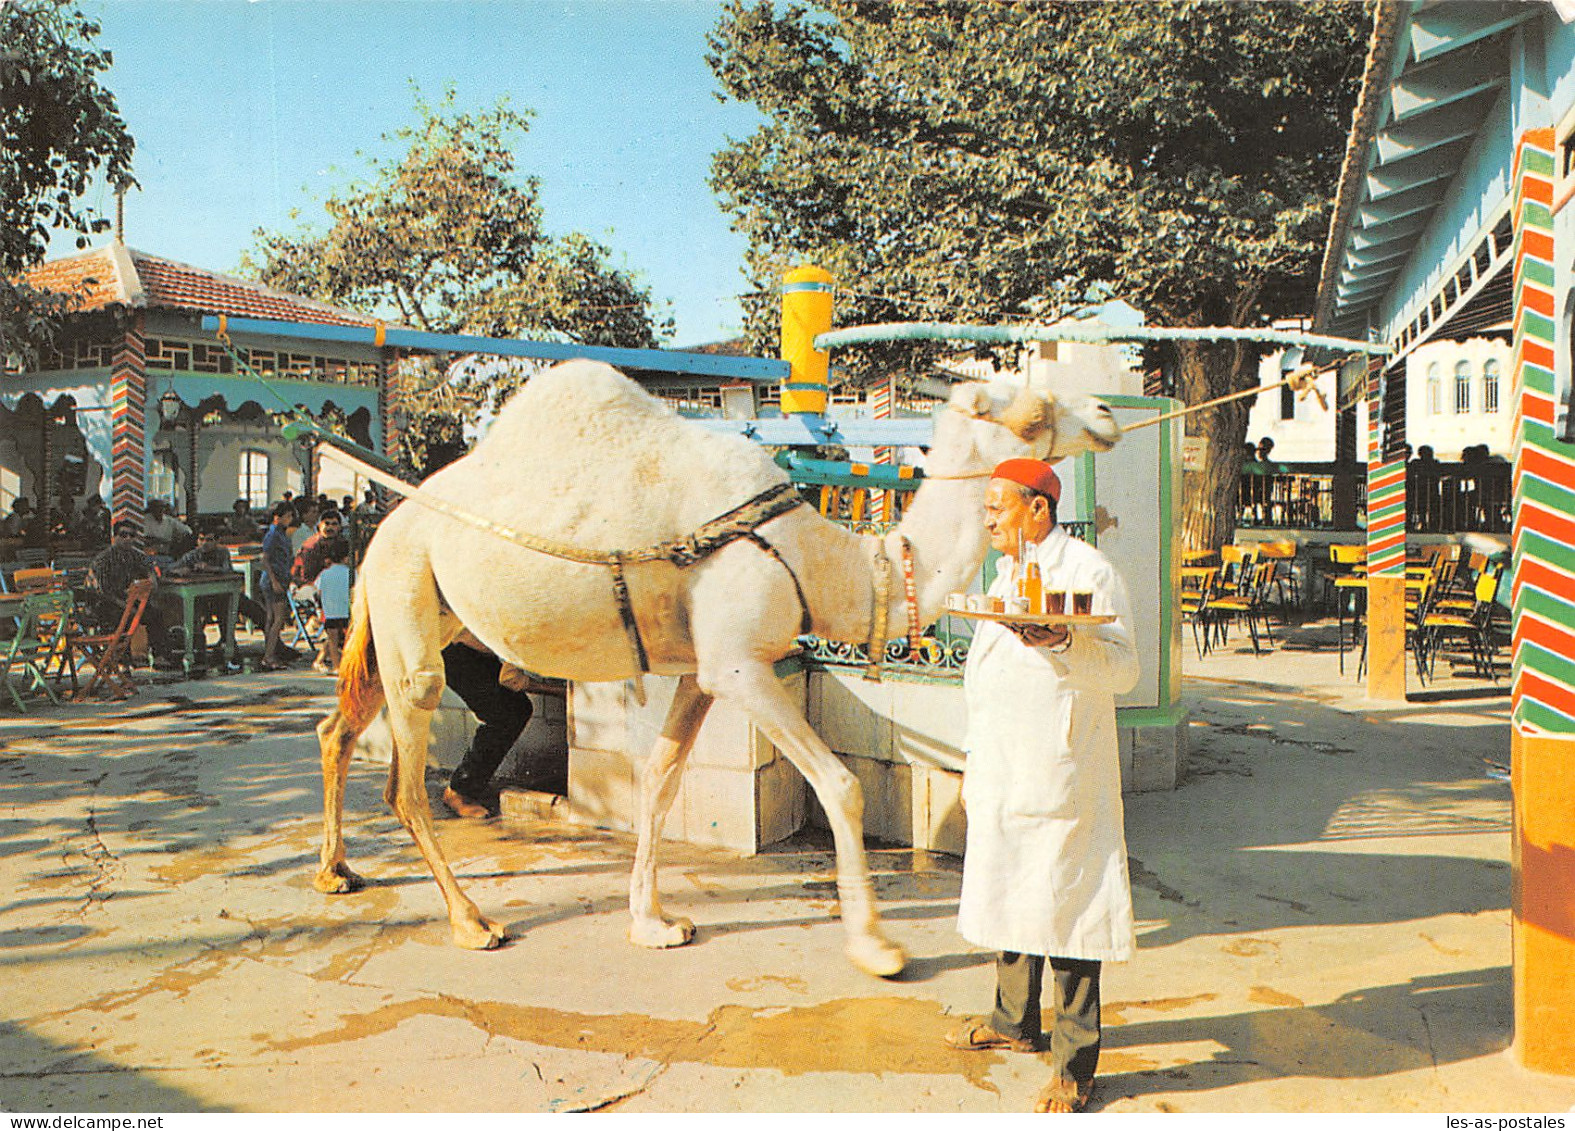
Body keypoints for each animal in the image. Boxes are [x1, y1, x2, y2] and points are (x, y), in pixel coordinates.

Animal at [313, 359, 1121, 976]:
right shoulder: (740, 665)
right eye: (1031, 411)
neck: (821, 557)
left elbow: (659, 779)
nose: (1110, 410)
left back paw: (336, 870)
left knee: (338, 728)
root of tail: (382, 526)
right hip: (408, 597)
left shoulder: (699, 670)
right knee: (401, 777)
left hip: (411, 607)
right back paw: (471, 920)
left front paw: (653, 922)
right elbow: (840, 784)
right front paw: (876, 946)